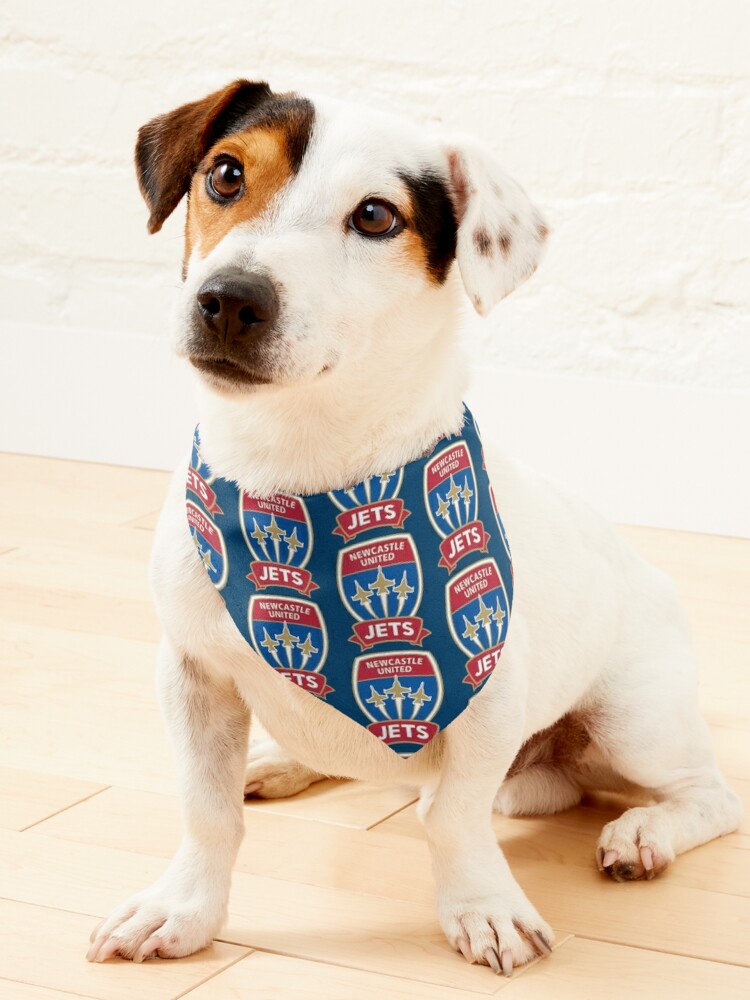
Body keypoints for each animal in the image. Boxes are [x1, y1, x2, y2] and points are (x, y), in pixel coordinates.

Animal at [85, 82, 744, 972]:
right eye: (225, 173)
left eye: (375, 216)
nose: (230, 298)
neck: (301, 472)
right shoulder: (192, 677)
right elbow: (207, 810)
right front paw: (183, 909)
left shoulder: (489, 694)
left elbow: (453, 817)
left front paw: (483, 908)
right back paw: (281, 761)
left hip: (635, 719)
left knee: (708, 796)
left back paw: (644, 833)